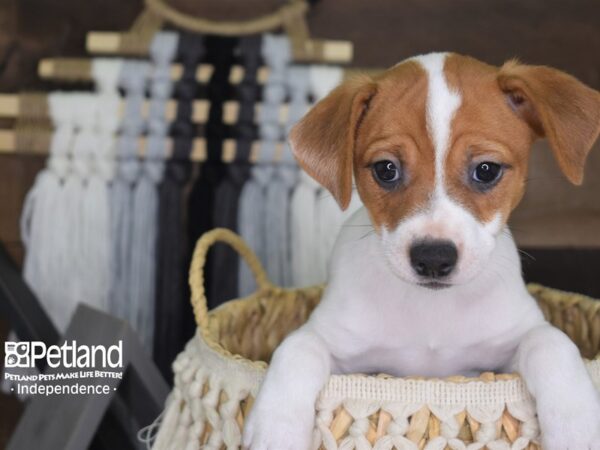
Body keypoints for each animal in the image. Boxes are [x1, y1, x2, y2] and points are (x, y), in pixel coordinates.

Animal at [243, 53, 600, 450]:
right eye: (386, 169)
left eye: (487, 170)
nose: (433, 258)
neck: (430, 310)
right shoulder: (333, 339)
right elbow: (297, 347)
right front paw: (277, 428)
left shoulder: (512, 341)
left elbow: (552, 341)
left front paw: (577, 424)